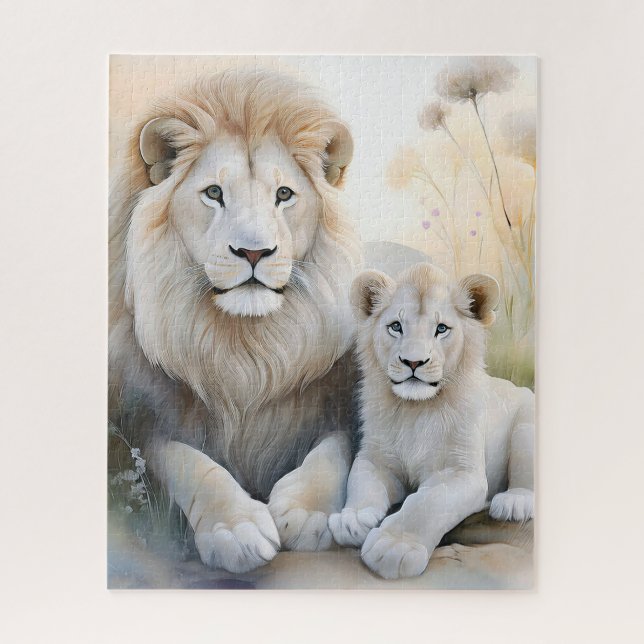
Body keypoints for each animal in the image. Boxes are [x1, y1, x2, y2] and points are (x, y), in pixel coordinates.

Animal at [109, 70, 362, 573]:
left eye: (283, 195)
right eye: (214, 193)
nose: (253, 251)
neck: (245, 350)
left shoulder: (338, 405)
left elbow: (334, 450)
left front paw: (309, 512)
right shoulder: (139, 424)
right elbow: (187, 460)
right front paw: (236, 527)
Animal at [328, 263, 534, 579]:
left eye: (441, 329)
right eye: (396, 326)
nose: (413, 362)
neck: (416, 411)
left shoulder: (462, 472)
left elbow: (428, 503)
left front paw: (393, 547)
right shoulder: (376, 457)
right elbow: (361, 482)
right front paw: (353, 519)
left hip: (527, 418)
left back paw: (513, 502)